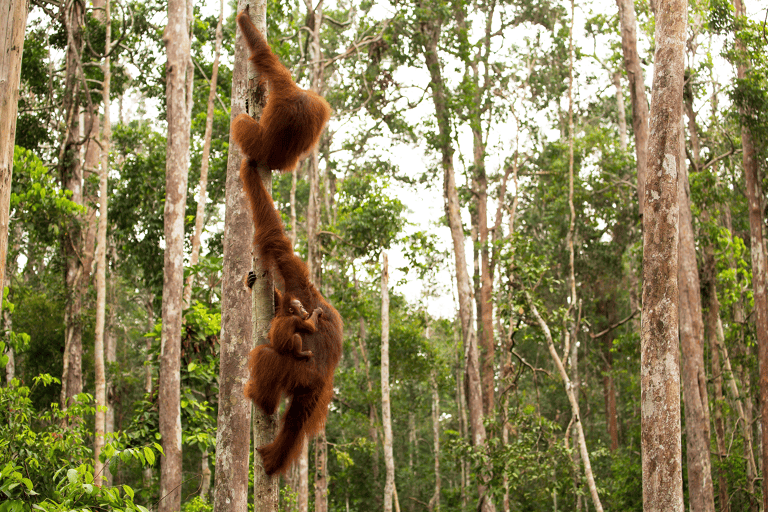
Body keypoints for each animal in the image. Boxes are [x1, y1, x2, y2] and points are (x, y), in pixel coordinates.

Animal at [231, 7, 332, 173]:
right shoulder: (322, 108)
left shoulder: (281, 79)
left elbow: (262, 53)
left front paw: (243, 17)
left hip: (256, 145)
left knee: (241, 121)